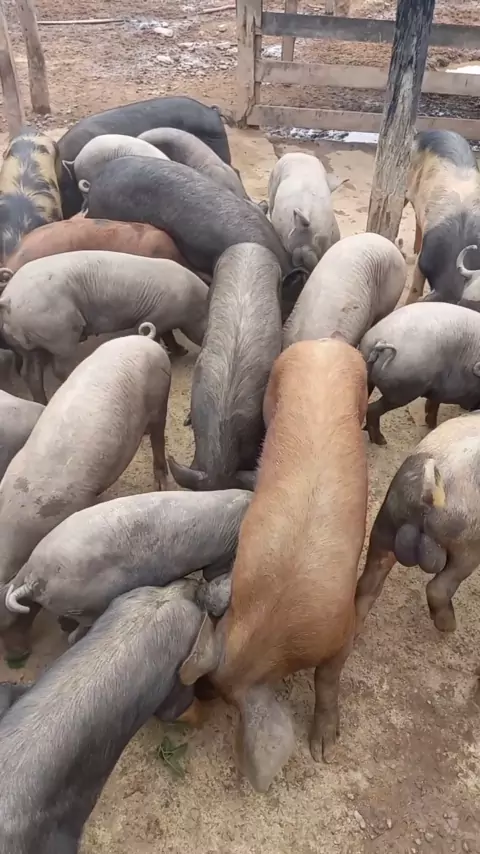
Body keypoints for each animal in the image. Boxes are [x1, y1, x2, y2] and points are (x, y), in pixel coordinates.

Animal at [0, 250, 207, 403]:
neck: (195, 303)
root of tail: (8, 298)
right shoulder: (157, 316)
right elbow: (160, 334)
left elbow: (169, 335)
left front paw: (181, 351)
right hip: (60, 332)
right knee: (59, 368)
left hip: (28, 344)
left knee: (30, 374)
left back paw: (42, 402)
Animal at [0, 327, 171, 663]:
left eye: (10, 618)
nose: (15, 658)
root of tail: (145, 338)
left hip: (162, 394)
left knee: (159, 436)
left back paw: (162, 482)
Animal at [178, 339, 368, 791]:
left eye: (224, 697)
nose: (201, 694)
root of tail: (324, 343)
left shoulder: (343, 626)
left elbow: (327, 679)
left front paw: (323, 751)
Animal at [355, 411, 480, 634]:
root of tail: (429, 491)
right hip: (469, 543)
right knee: (438, 587)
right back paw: (449, 626)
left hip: (388, 521)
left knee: (368, 584)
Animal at [360, 302, 480, 445]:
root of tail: (381, 341)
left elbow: (433, 402)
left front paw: (431, 424)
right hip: (402, 391)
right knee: (373, 409)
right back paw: (381, 441)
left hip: (367, 371)